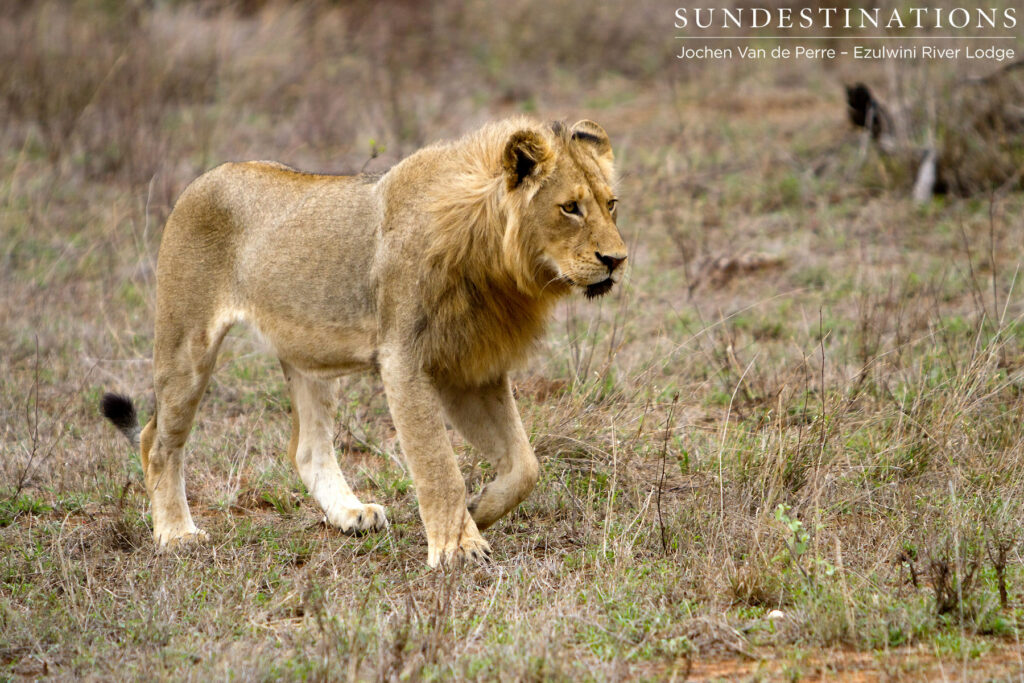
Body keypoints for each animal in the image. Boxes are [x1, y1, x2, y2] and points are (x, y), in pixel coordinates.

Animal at [100, 117, 627, 567]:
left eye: (611, 204)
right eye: (570, 207)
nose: (617, 260)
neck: (498, 261)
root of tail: (202, 179)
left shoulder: (471, 366)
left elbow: (525, 465)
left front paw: (479, 511)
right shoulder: (404, 358)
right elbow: (438, 465)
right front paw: (457, 548)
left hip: (309, 352)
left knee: (307, 449)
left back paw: (350, 514)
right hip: (186, 342)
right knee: (157, 441)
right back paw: (175, 534)